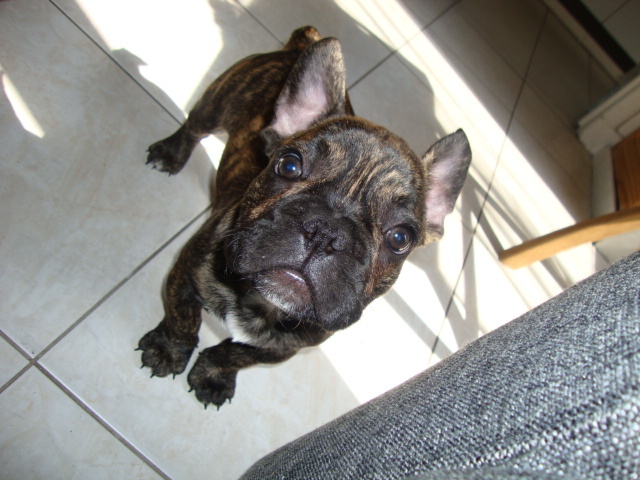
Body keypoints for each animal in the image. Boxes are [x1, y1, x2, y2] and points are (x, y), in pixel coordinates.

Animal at [137, 26, 471, 409]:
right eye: (289, 165)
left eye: (400, 238)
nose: (325, 232)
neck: (264, 305)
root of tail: (303, 41)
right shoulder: (186, 273)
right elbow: (183, 317)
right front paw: (168, 349)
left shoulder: (286, 348)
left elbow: (236, 354)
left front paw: (213, 374)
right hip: (218, 103)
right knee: (195, 125)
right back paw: (171, 151)